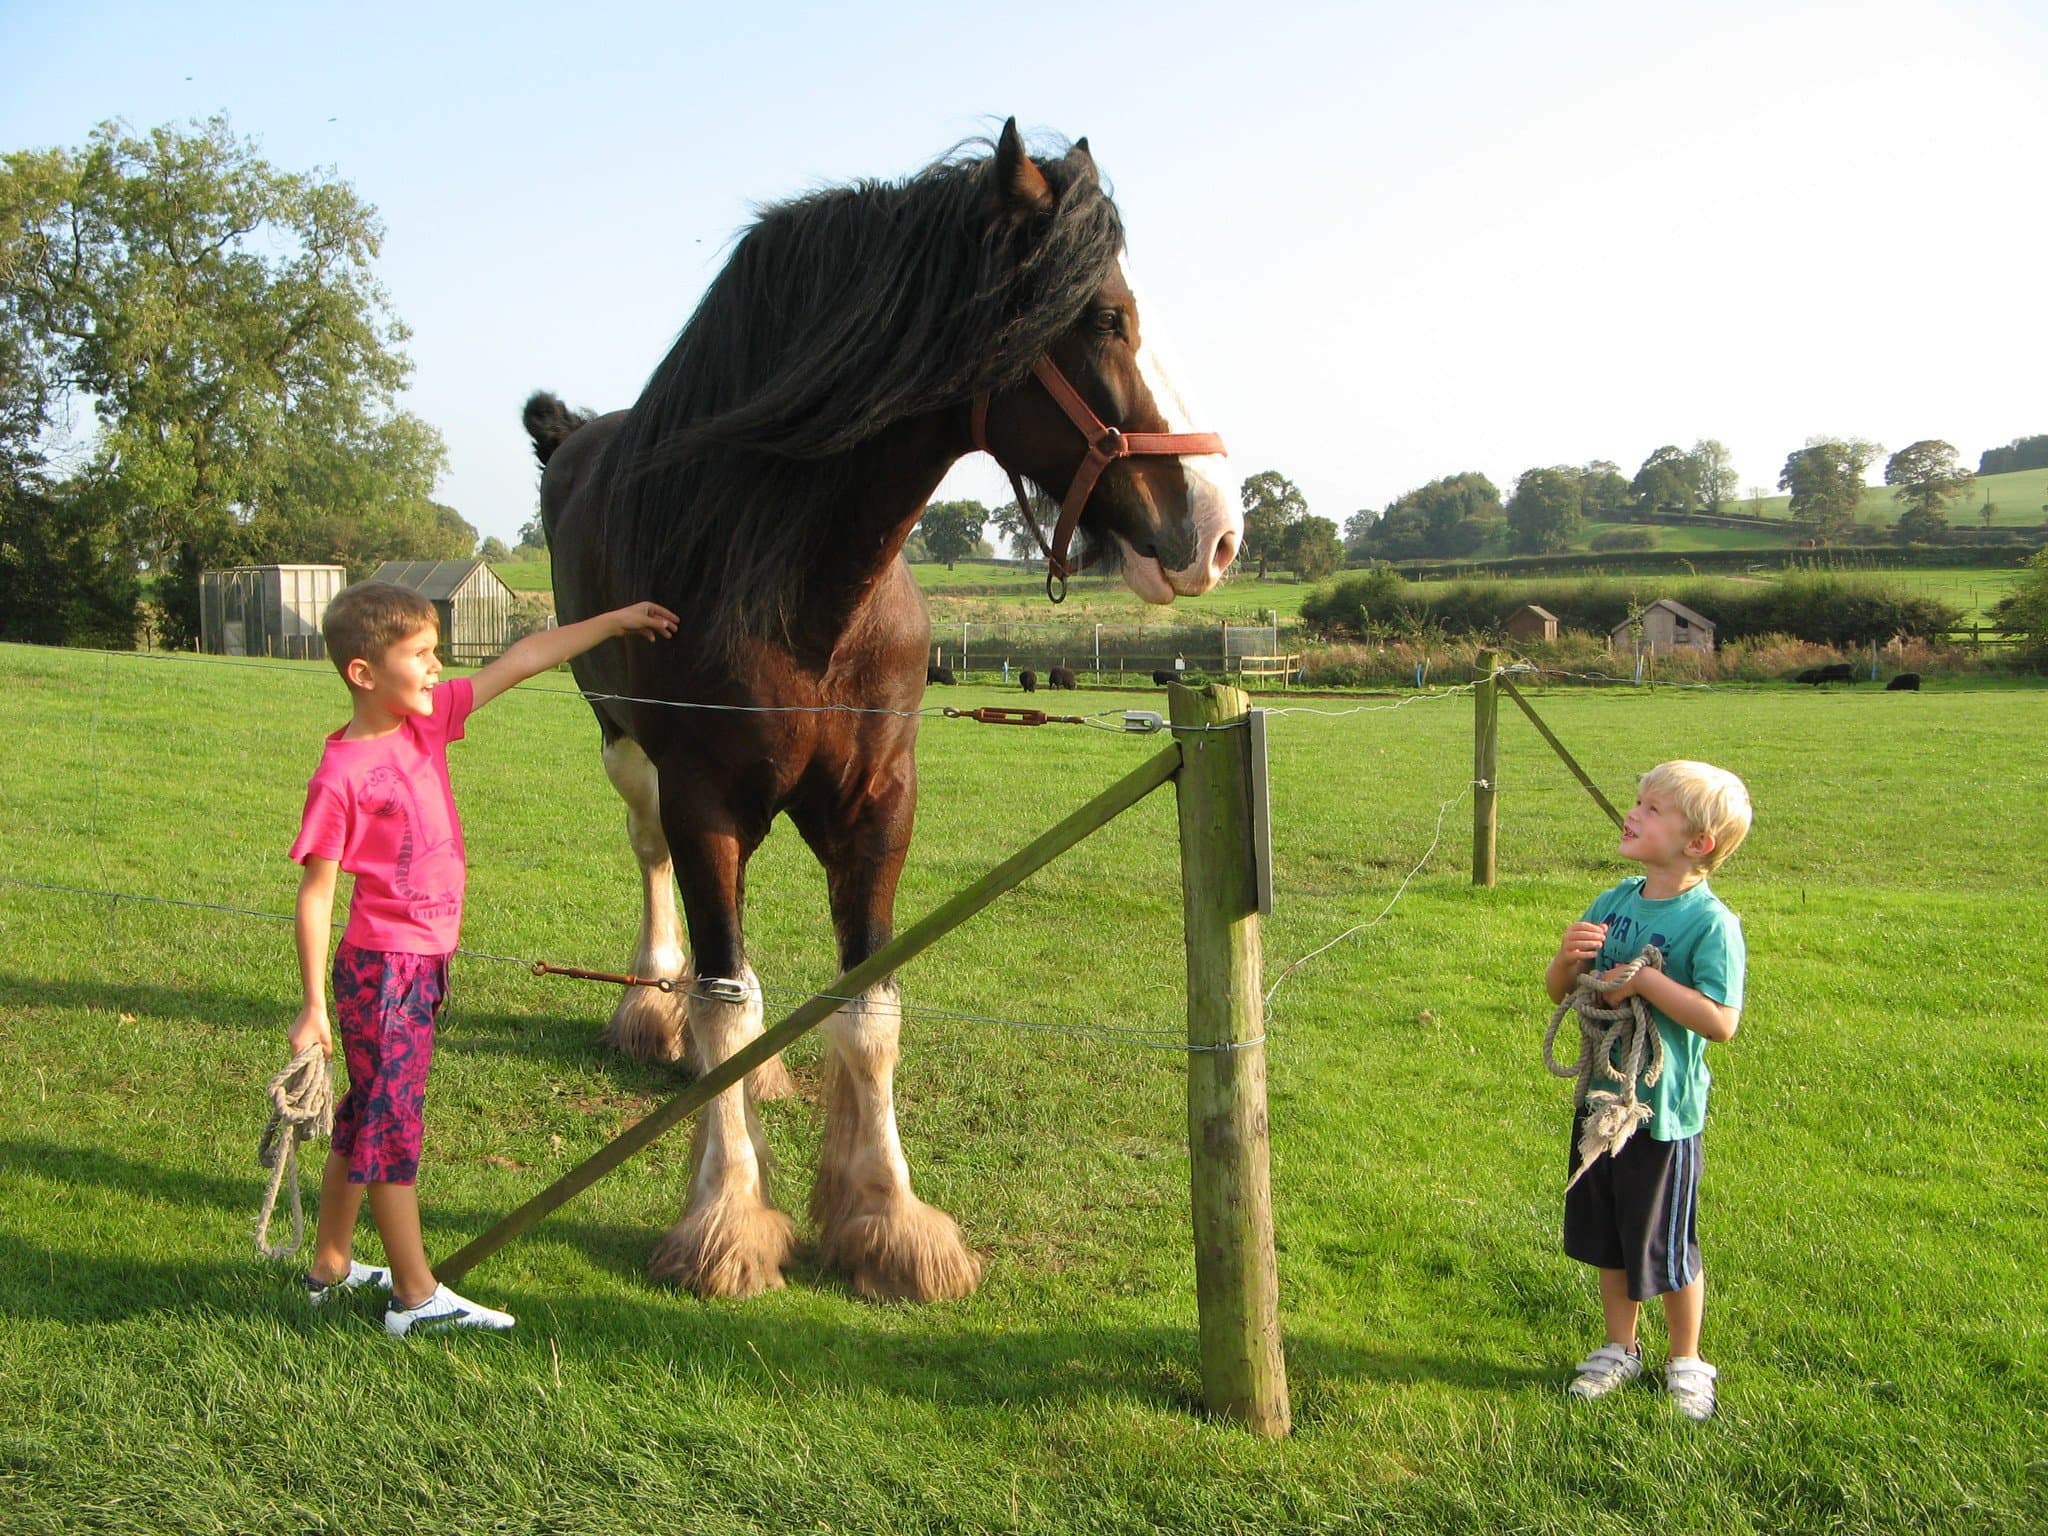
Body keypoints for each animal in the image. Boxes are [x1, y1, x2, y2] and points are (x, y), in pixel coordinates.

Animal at [524, 122, 1241, 1303]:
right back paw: (651, 1007)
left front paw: (886, 1221)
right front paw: (726, 1219)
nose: (1220, 532)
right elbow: (720, 996)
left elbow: (868, 1010)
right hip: (628, 754)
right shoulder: (703, 800)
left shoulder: (876, 805)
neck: (801, 588)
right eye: (1104, 318)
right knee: (654, 871)